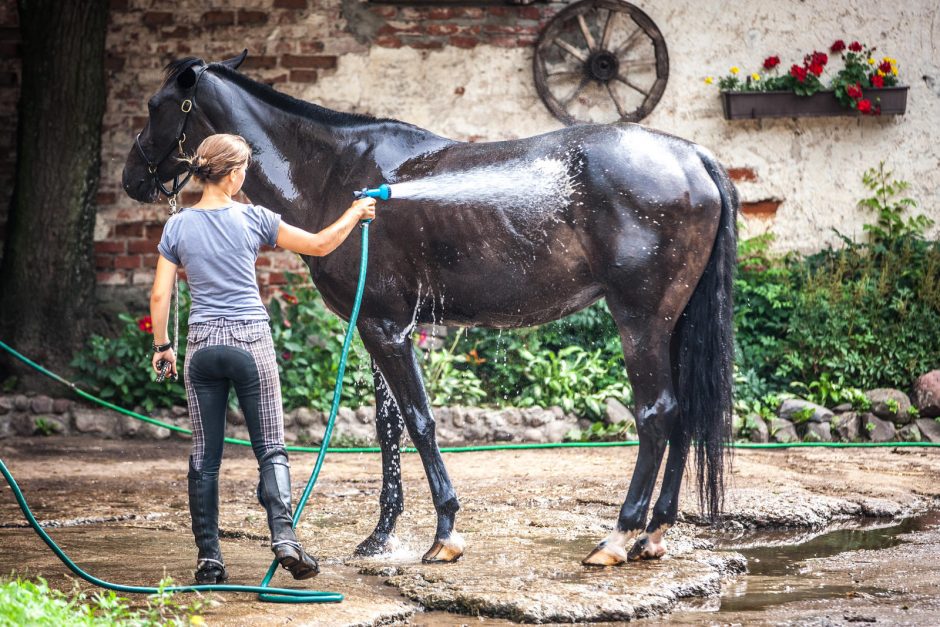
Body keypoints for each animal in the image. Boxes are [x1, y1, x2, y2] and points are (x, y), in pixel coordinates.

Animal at [123, 51, 736, 568]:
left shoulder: (385, 329)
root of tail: (695, 157)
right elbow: (388, 429)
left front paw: (444, 534)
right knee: (683, 415)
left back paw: (618, 536)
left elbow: (419, 422)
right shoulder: (381, 326)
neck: (334, 171)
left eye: (155, 106)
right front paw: (380, 536)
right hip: (673, 326)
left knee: (656, 415)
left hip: (640, 324)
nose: (132, 179)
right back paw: (654, 534)